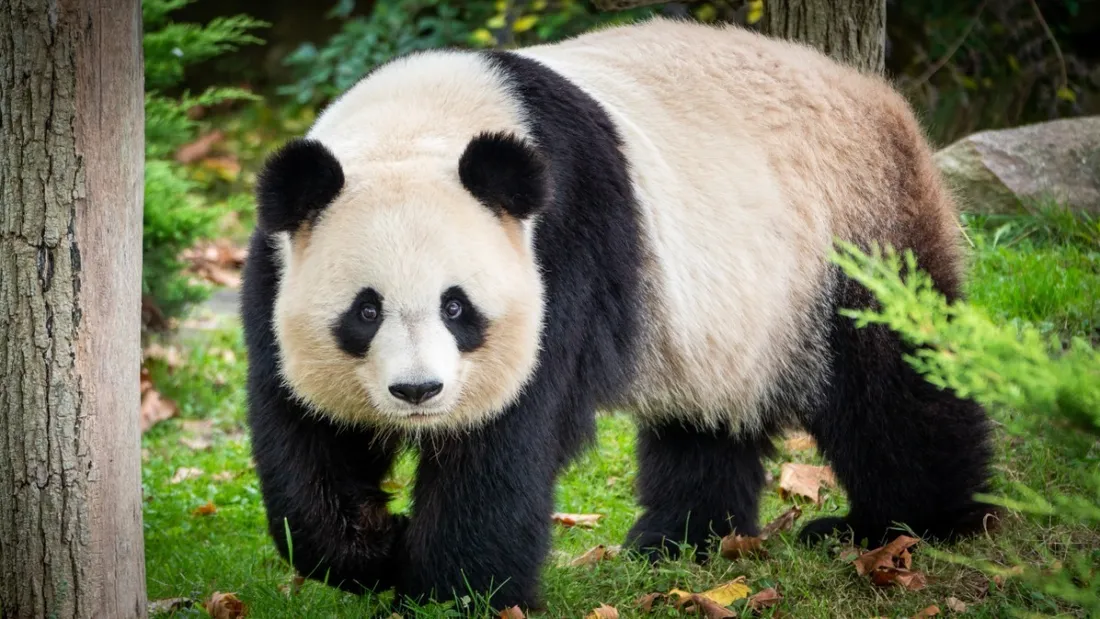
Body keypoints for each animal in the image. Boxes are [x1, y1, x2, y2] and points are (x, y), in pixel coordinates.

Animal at [241, 17, 996, 611]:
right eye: (365, 311)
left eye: (457, 306)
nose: (418, 391)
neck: (420, 125)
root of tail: (880, 96)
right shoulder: (277, 265)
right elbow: (301, 430)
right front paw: (373, 547)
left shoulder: (565, 238)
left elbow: (507, 435)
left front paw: (451, 593)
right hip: (735, 304)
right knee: (708, 419)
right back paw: (680, 542)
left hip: (849, 231)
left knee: (892, 383)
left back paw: (912, 524)